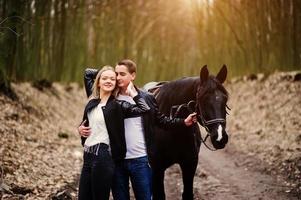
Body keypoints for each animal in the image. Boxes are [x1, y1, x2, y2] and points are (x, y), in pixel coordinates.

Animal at [144, 65, 229, 200]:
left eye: (225, 99)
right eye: (203, 99)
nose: (220, 137)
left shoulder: (190, 165)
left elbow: (187, 194)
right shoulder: (157, 169)